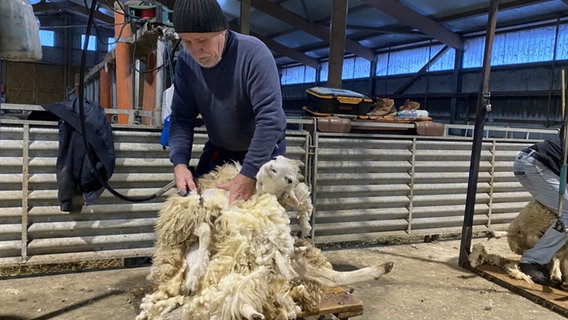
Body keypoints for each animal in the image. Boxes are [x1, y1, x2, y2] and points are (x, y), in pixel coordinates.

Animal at [138, 156, 394, 318]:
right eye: (276, 158)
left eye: (290, 179)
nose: (269, 166)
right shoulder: (215, 215)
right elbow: (204, 230)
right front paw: (193, 278)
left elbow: (205, 231)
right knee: (324, 277)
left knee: (328, 277)